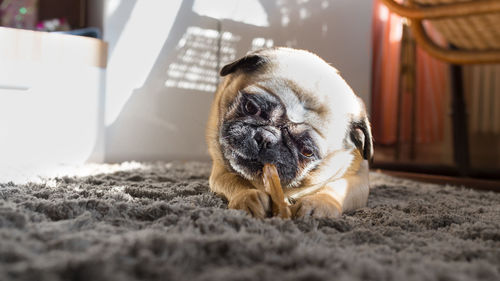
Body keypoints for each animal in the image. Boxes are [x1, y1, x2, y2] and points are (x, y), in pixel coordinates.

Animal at [205, 47, 374, 219]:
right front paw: (248, 196)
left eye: (307, 151)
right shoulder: (220, 171)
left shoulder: (358, 178)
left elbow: (337, 187)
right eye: (251, 107)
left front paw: (318, 202)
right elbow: (234, 179)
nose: (266, 138)